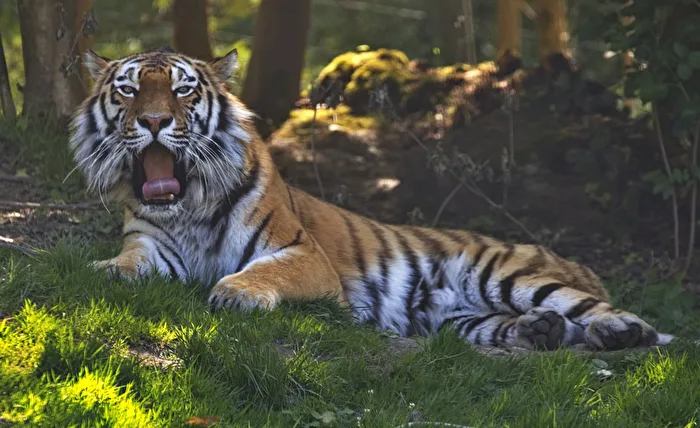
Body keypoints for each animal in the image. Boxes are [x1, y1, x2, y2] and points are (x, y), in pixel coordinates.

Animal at [69, 47, 674, 351]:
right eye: (128, 90)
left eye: (182, 90)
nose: (153, 121)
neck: (188, 204)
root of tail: (571, 259)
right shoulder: (151, 244)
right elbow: (129, 262)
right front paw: (102, 271)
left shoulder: (304, 256)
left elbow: (262, 272)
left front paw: (235, 293)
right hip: (458, 321)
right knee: (534, 326)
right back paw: (539, 332)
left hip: (506, 274)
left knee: (607, 314)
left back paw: (621, 332)